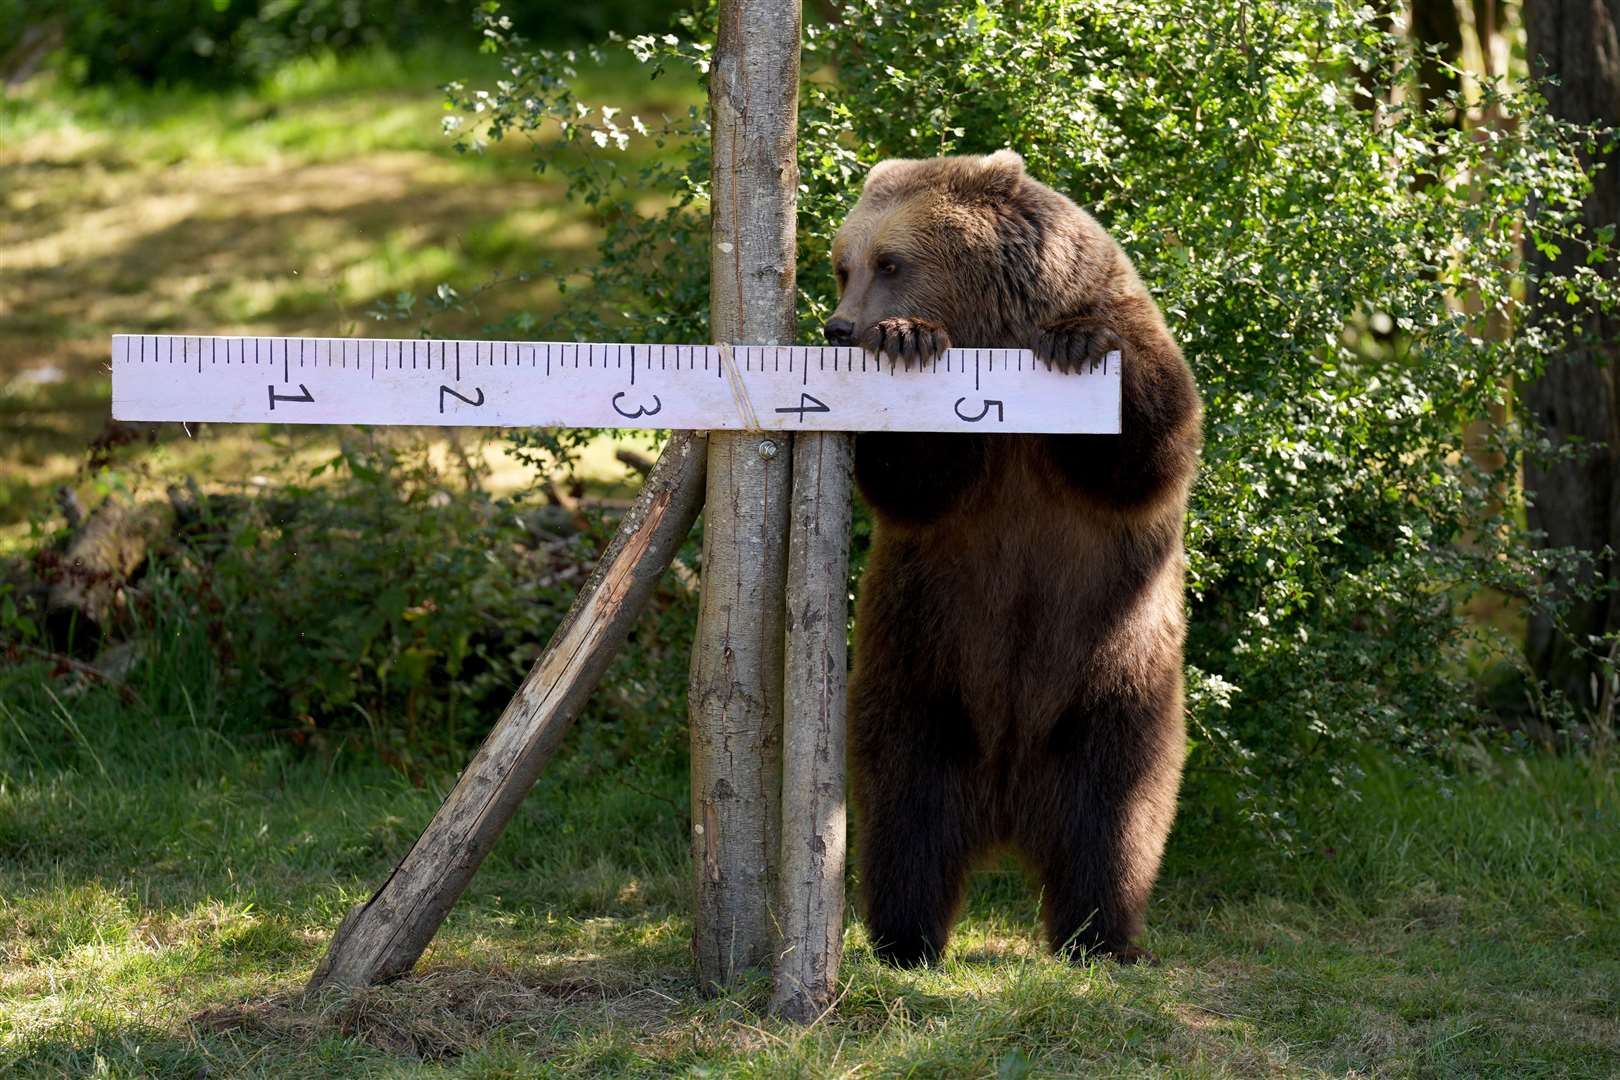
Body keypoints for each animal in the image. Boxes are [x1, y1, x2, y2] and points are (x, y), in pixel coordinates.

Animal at [829, 149, 1198, 965]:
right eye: (843, 264)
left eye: (890, 261)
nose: (840, 329)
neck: (996, 331)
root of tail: (1006, 804)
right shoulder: (963, 489)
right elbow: (916, 486)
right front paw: (908, 341)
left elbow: (1152, 453)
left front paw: (1082, 343)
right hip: (923, 671)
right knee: (906, 809)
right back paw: (905, 936)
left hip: (1115, 680)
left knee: (1114, 815)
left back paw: (1100, 936)